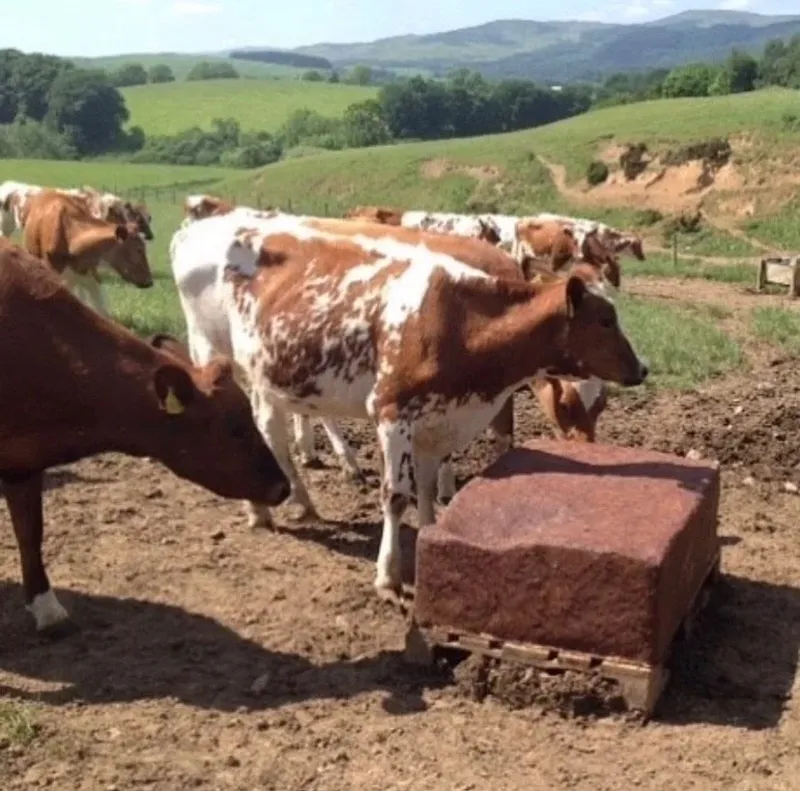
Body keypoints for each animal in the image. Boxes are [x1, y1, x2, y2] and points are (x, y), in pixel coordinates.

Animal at [171, 211, 648, 603]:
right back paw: (261, 510)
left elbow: (426, 485)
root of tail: (201, 224)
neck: (460, 321)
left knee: (270, 428)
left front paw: (429, 539)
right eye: (605, 320)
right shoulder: (392, 413)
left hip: (268, 376)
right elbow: (397, 494)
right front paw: (389, 576)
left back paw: (299, 501)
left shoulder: (439, 419)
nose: (642, 368)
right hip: (209, 349)